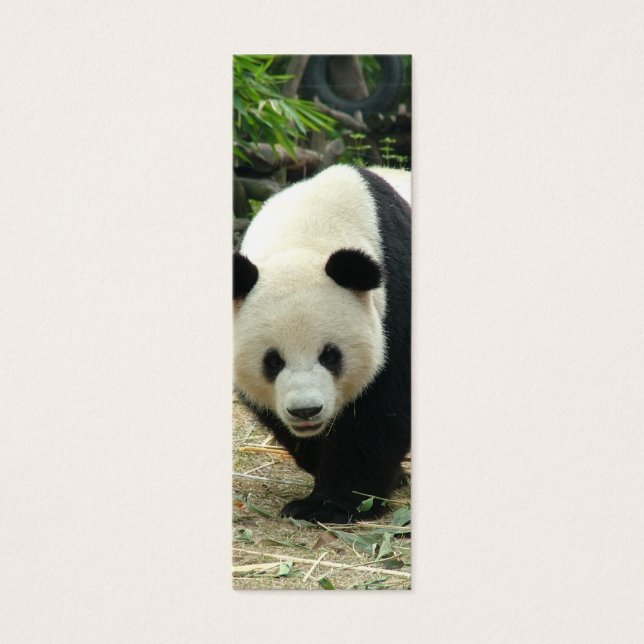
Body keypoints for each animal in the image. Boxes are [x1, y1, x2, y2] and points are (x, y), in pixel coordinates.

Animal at [233, 164, 410, 524]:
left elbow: (379, 414)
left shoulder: (396, 304)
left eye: (330, 355)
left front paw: (329, 505)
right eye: (273, 361)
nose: (306, 411)